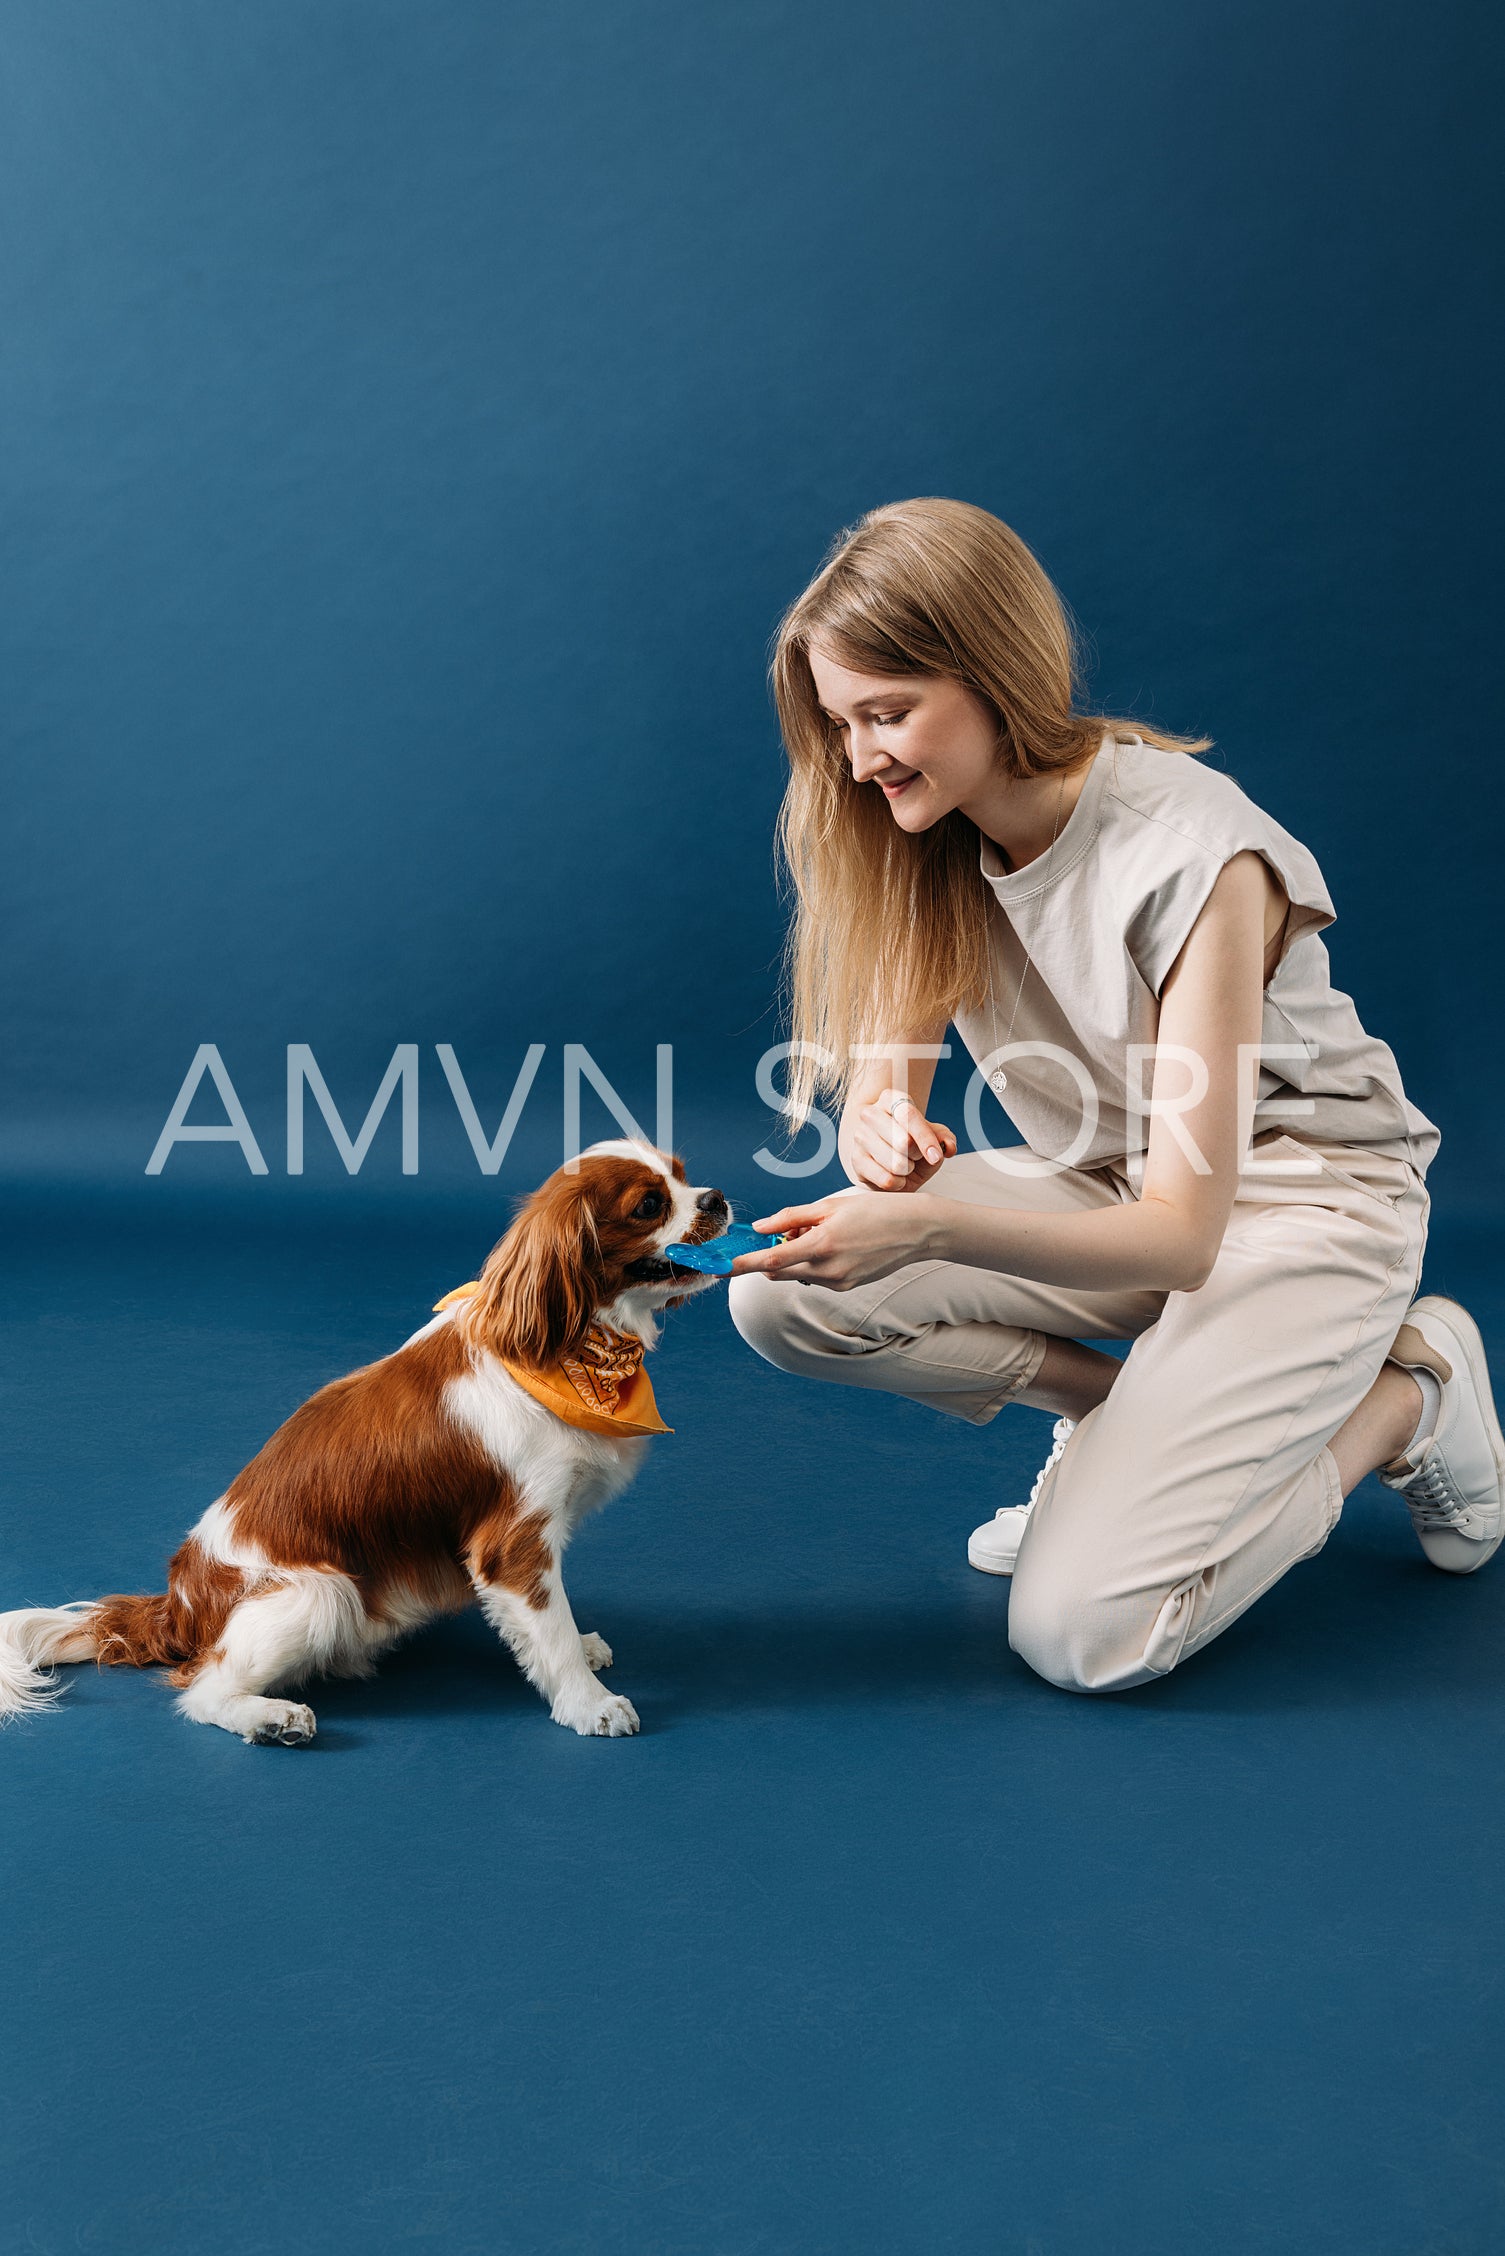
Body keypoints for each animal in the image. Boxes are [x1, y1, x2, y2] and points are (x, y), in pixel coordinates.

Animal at [0, 1146, 731, 1741]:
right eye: (649, 1204)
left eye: (684, 1175)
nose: (717, 1198)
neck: (572, 1355)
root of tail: (179, 1606)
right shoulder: (515, 1544)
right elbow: (547, 1631)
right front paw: (590, 1703)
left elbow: (557, 1620)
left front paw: (584, 1647)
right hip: (320, 1593)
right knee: (201, 1690)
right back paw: (271, 1718)